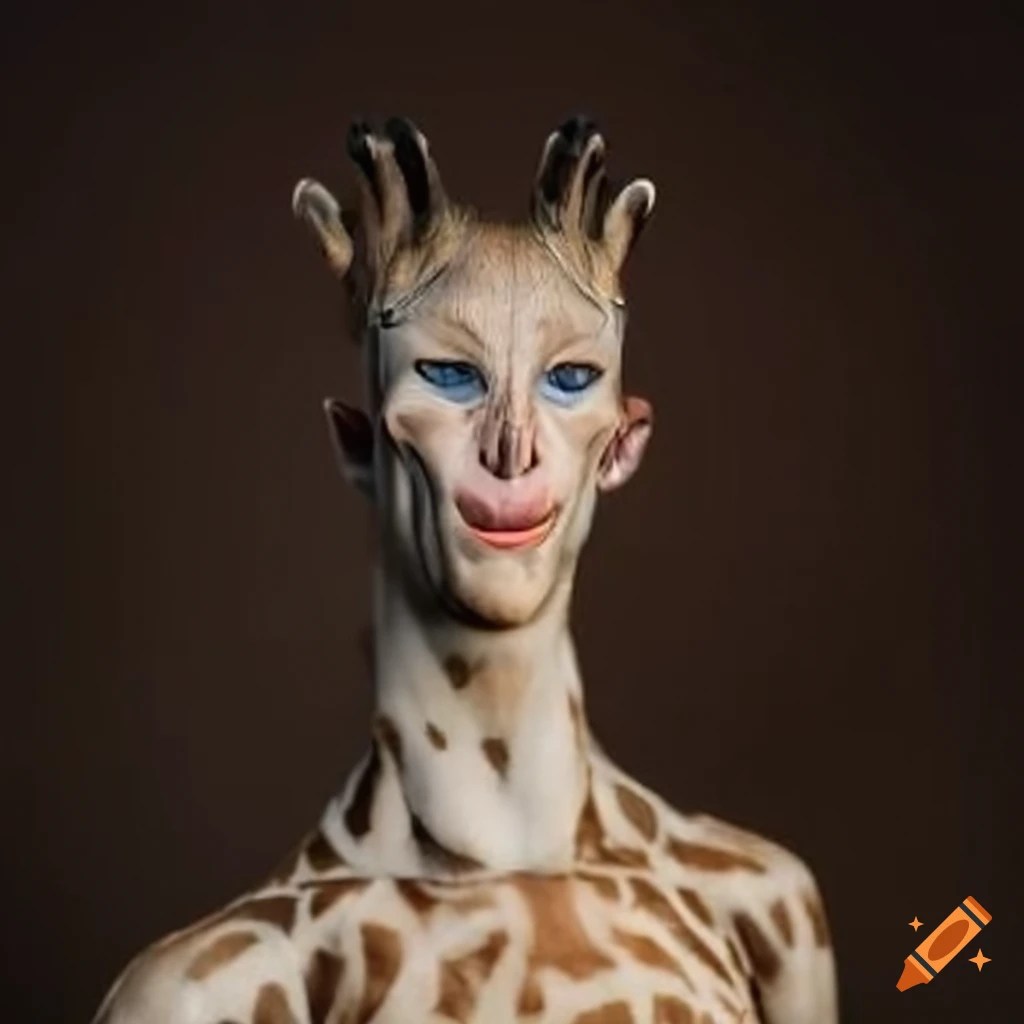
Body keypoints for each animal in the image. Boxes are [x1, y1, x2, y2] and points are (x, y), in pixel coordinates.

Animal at [91, 116, 840, 1024]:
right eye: (449, 375)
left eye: (570, 378)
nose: (509, 458)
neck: (511, 828)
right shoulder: (176, 985)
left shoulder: (787, 895)